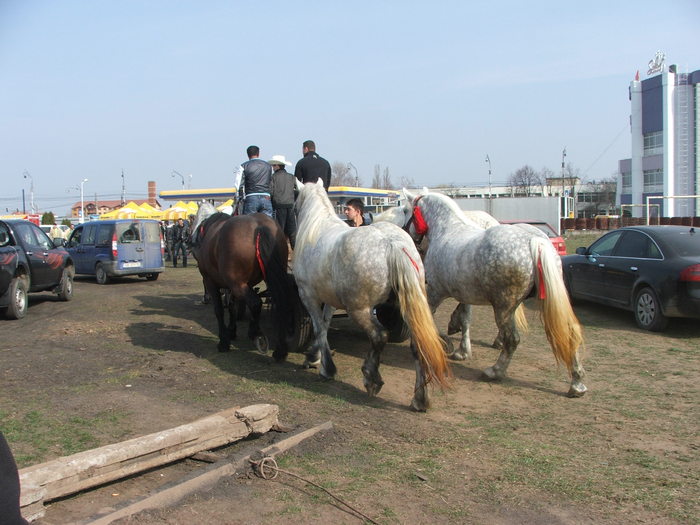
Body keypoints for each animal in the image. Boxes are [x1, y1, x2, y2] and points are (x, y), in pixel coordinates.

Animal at [190, 205, 294, 360]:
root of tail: (259, 225)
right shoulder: (239, 285)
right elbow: (232, 307)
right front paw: (232, 331)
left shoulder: (211, 282)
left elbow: (219, 310)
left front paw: (224, 341)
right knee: (281, 304)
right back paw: (280, 350)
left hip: (237, 284)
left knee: (255, 303)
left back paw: (255, 333)